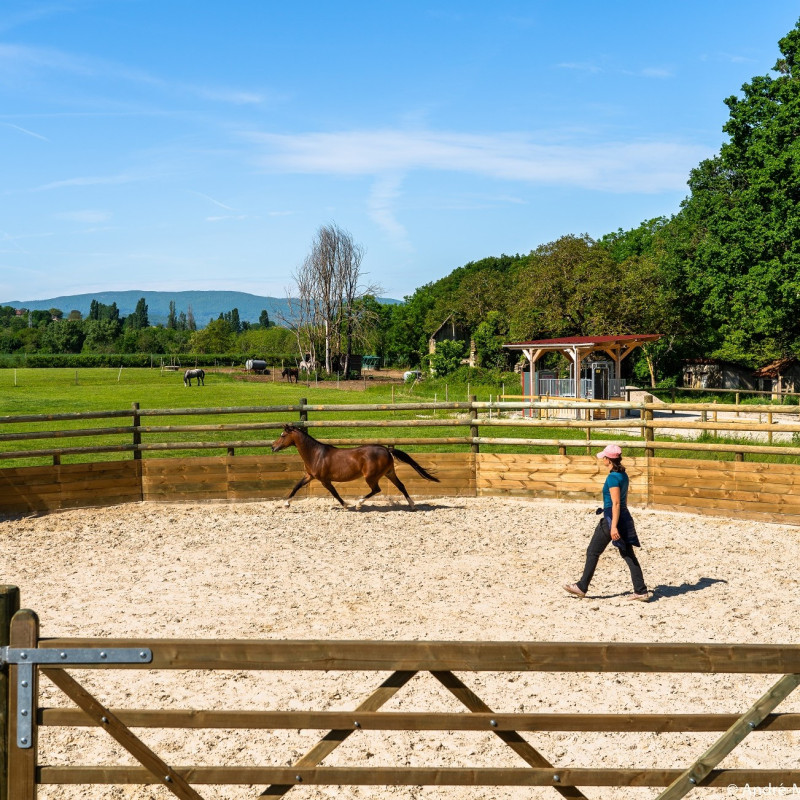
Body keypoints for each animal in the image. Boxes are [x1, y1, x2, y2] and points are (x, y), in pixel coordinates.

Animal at [274, 422, 438, 510]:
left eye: (283, 435)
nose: (272, 446)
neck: (316, 454)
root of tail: (386, 449)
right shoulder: (309, 476)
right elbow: (296, 486)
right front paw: (286, 504)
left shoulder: (324, 480)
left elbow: (334, 493)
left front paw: (346, 505)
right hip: (390, 473)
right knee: (401, 486)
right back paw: (413, 505)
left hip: (371, 477)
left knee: (376, 489)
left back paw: (359, 504)